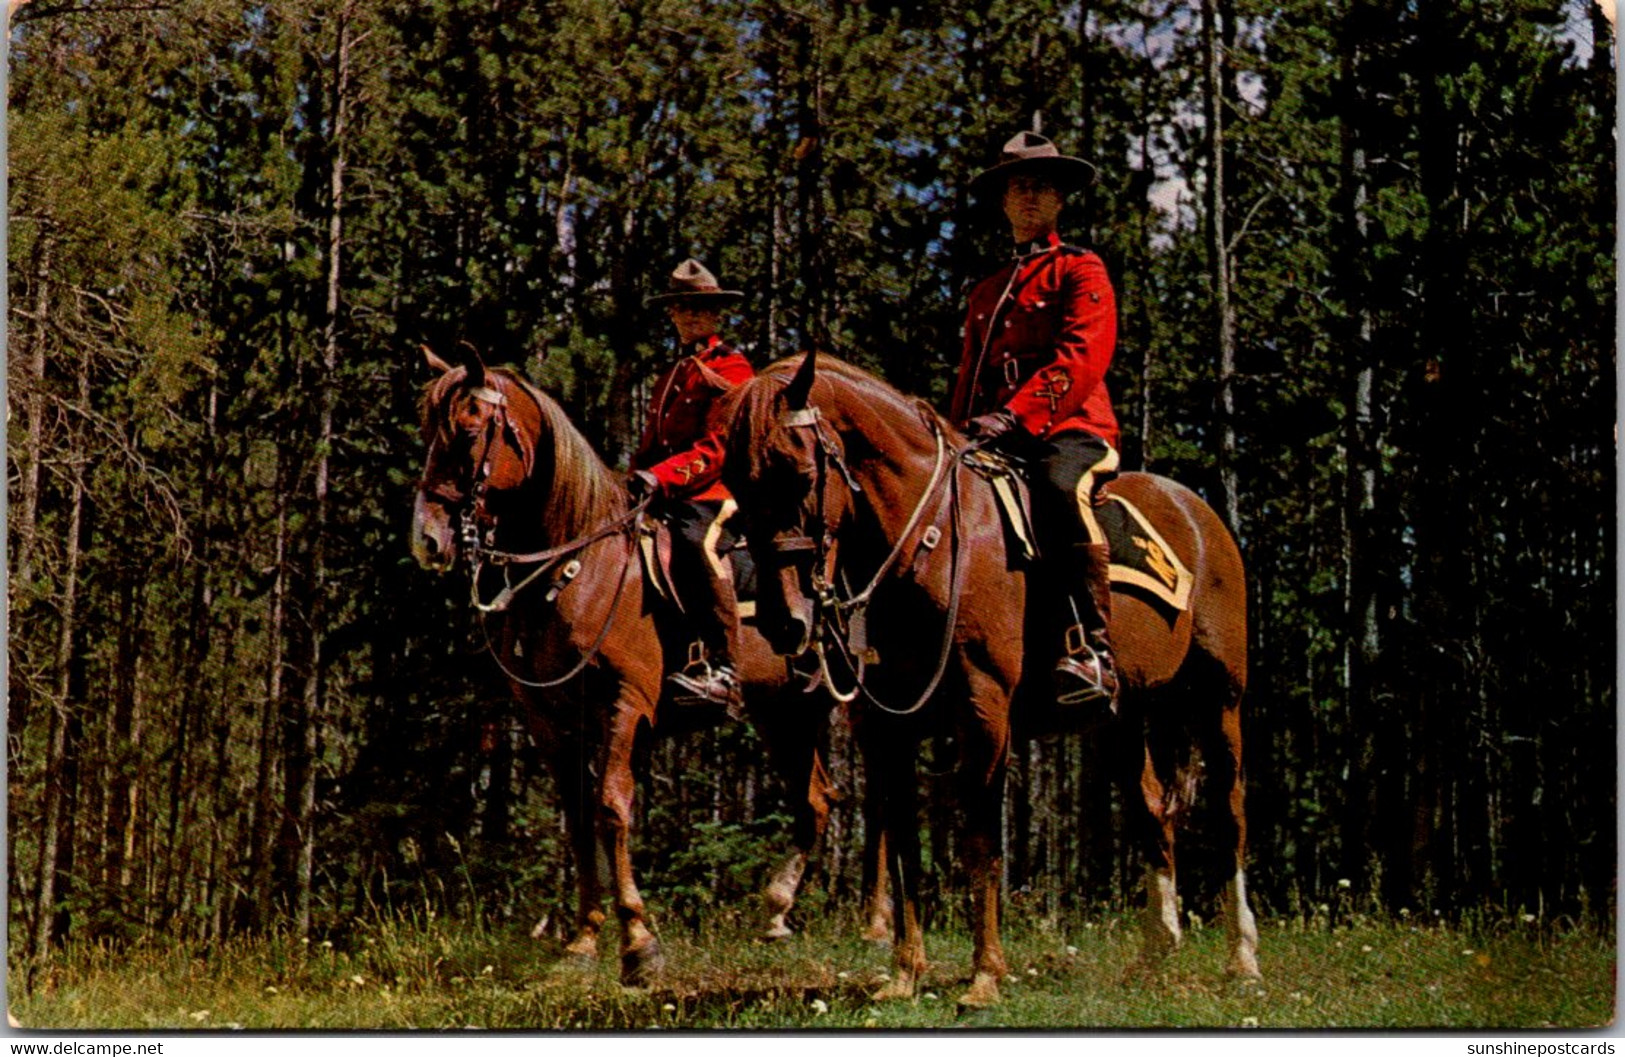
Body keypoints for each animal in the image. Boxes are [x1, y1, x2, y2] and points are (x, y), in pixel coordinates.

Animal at [409, 346, 890, 982]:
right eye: (426, 432)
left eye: (466, 432)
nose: (427, 540)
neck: (580, 567)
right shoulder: (550, 719)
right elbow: (579, 817)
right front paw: (581, 941)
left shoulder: (624, 704)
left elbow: (613, 809)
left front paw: (638, 942)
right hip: (785, 711)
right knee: (817, 798)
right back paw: (778, 912)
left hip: (853, 698)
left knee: (879, 799)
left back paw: (877, 926)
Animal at [728, 347, 1267, 1001]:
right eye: (735, 481)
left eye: (800, 472)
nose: (782, 621)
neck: (928, 541)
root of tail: (1201, 513)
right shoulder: (887, 726)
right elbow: (903, 838)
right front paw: (904, 974)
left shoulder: (983, 707)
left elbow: (981, 835)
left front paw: (985, 975)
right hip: (1121, 718)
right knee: (1151, 813)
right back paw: (1156, 951)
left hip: (1220, 699)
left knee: (1231, 812)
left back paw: (1243, 957)